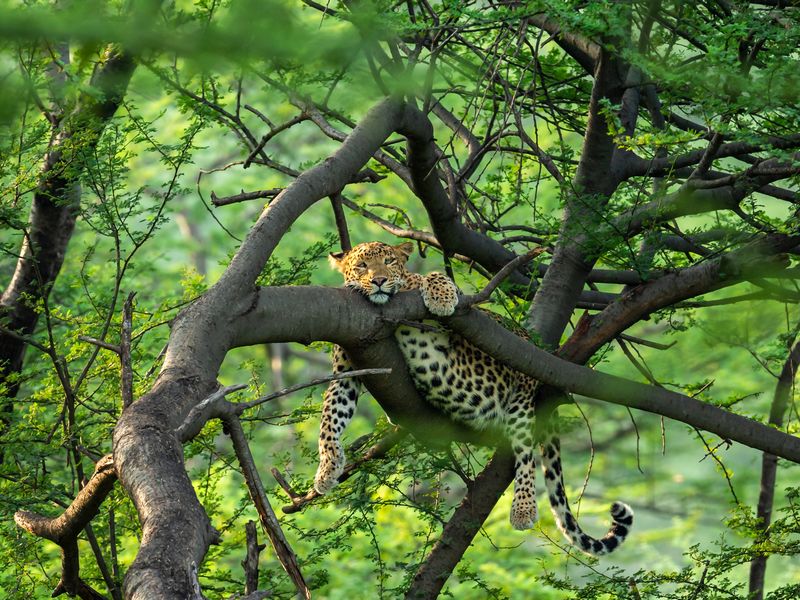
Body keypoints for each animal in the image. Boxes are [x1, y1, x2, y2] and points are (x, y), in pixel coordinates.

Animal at [313, 240, 633, 556]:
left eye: (390, 262)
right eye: (362, 266)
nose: (378, 280)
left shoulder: (448, 332)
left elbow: (429, 277)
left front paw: (440, 295)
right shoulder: (345, 374)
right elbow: (329, 422)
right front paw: (327, 469)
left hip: (521, 398)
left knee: (525, 454)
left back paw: (524, 508)